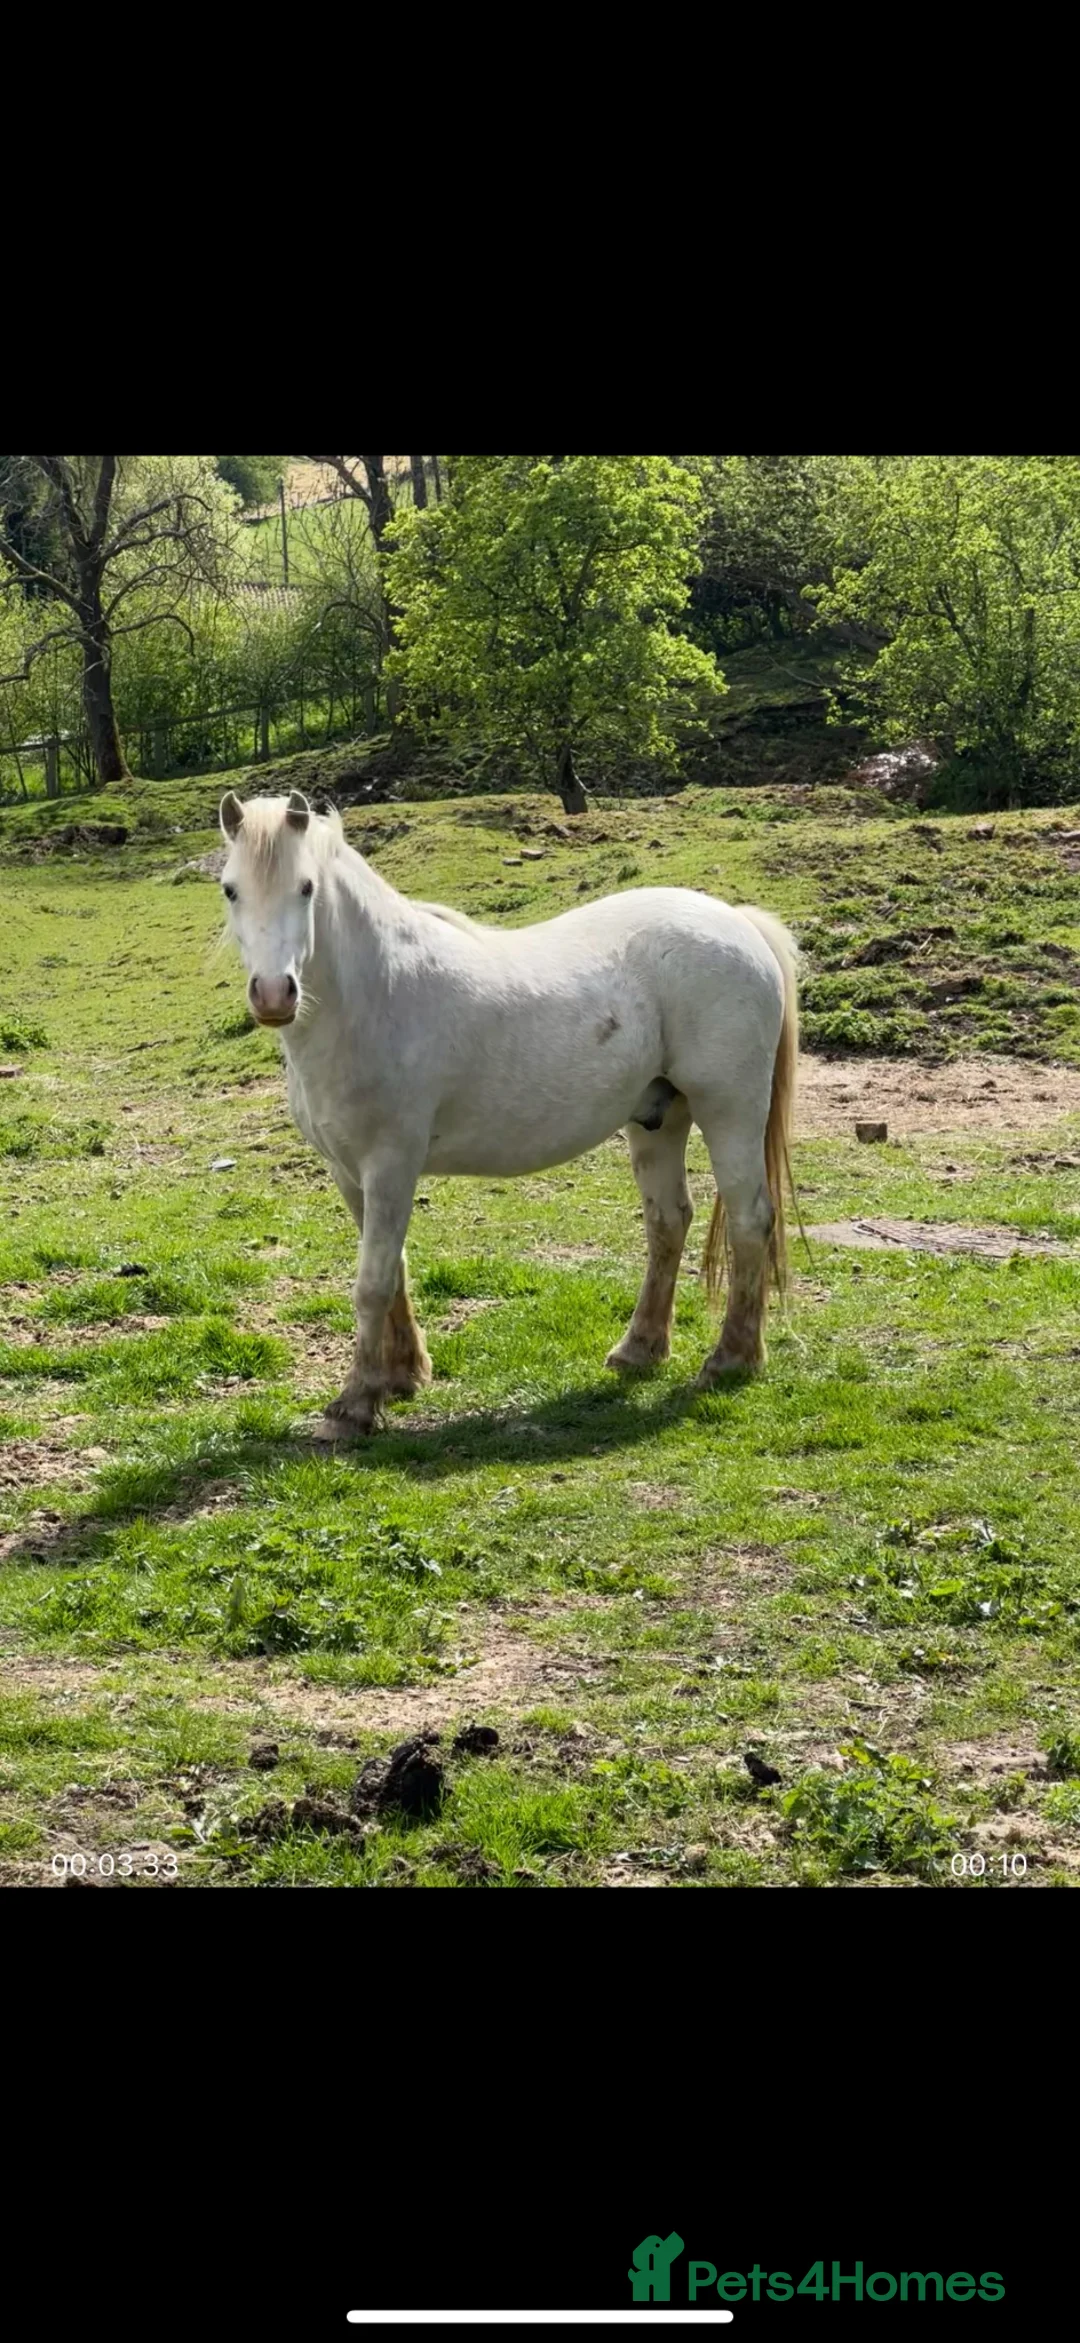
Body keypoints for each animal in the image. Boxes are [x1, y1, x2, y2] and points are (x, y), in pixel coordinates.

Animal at [218, 787, 799, 1437]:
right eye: (231, 889)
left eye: (306, 888)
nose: (274, 995)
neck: (376, 995)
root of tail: (737, 922)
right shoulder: (349, 1173)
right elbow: (393, 1270)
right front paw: (402, 1375)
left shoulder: (390, 1165)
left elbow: (371, 1283)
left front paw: (354, 1405)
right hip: (658, 1119)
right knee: (668, 1222)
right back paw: (639, 1349)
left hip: (729, 1111)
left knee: (750, 1220)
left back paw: (730, 1360)